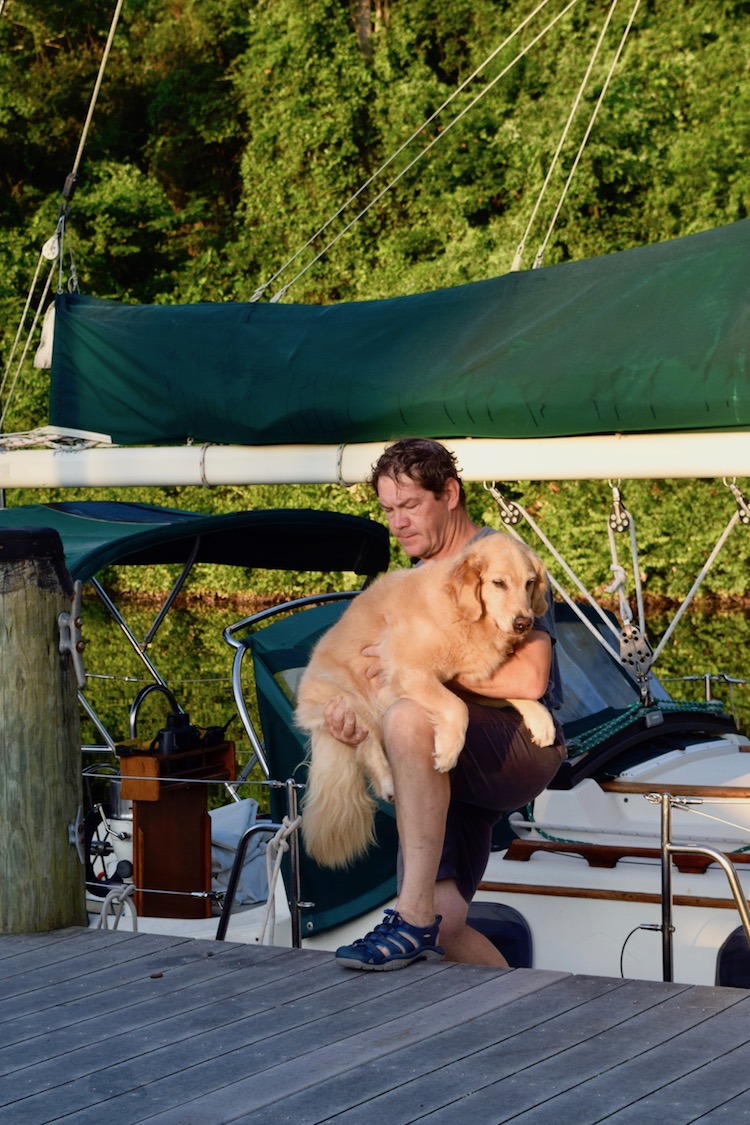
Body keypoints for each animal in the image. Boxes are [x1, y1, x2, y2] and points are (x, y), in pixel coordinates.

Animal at [296, 531, 555, 864]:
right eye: (498, 583)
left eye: (530, 583)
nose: (524, 623)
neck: (463, 614)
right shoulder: (408, 670)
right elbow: (458, 709)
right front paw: (448, 751)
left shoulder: (465, 680)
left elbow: (514, 695)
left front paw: (541, 720)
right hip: (353, 701)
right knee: (367, 746)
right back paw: (389, 782)